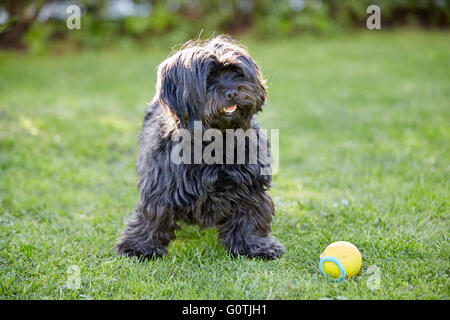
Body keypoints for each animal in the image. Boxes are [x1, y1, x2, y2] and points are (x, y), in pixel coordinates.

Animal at [116, 35, 284, 260]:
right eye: (209, 77)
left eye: (236, 72)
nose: (231, 92)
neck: (215, 139)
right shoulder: (161, 184)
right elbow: (153, 215)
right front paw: (139, 246)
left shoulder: (250, 184)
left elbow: (250, 216)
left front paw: (254, 246)